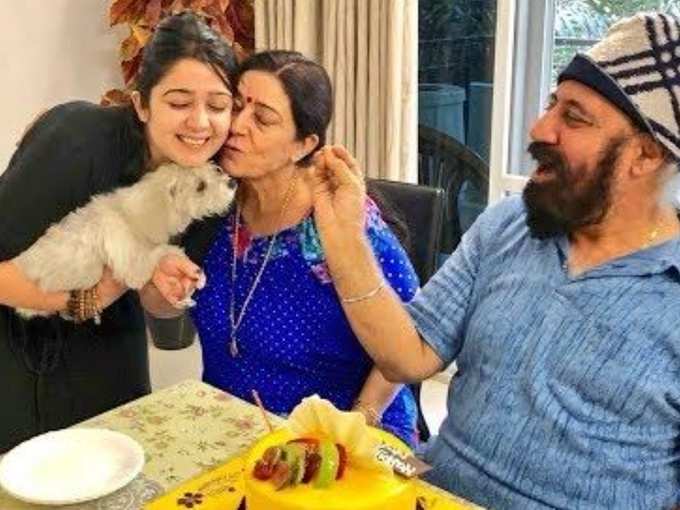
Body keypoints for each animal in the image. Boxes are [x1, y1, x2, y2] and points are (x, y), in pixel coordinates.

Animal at [13, 163, 236, 318]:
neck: (131, 214)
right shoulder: (135, 268)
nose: (232, 183)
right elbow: (166, 250)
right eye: (200, 186)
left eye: (216, 168)